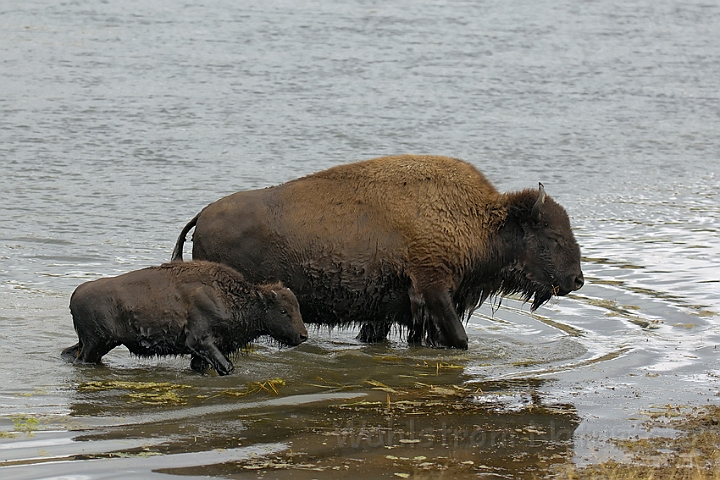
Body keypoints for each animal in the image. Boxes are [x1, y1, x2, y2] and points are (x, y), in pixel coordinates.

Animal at [61, 258, 306, 376]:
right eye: (283, 311)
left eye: (297, 308)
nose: (303, 335)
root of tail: (76, 294)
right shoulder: (201, 342)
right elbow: (226, 367)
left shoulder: (203, 351)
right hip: (96, 344)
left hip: (93, 343)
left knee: (69, 353)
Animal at [173, 156, 584, 350]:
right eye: (552, 237)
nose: (577, 280)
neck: (477, 220)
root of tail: (202, 215)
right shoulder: (436, 291)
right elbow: (460, 338)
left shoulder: (394, 308)